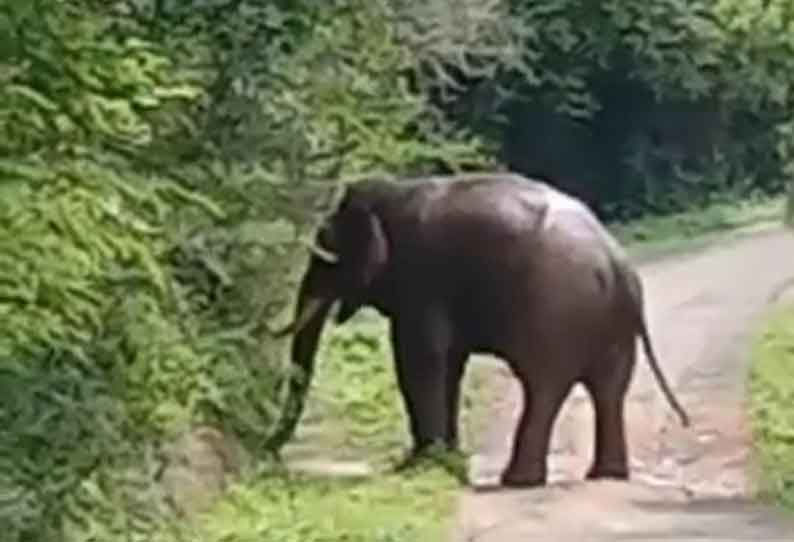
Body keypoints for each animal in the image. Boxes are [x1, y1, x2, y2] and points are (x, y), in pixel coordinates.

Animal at [268, 173, 688, 488]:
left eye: (327, 256)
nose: (272, 453)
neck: (393, 192)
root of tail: (619, 266)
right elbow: (449, 363)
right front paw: (448, 461)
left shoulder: (424, 279)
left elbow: (416, 358)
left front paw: (419, 466)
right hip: (612, 325)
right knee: (609, 389)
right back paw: (605, 475)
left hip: (555, 314)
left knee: (545, 386)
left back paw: (518, 480)